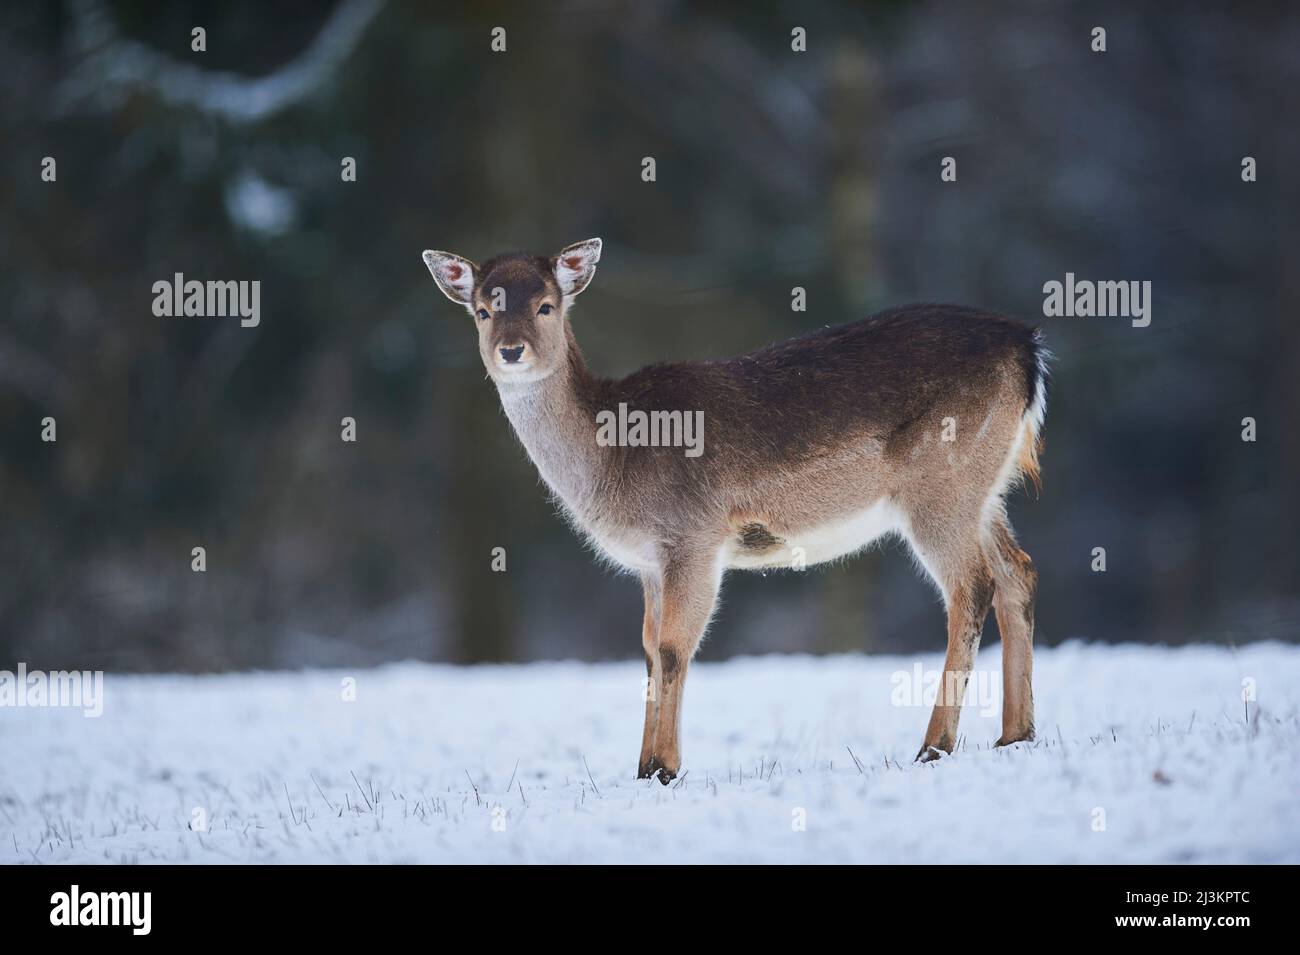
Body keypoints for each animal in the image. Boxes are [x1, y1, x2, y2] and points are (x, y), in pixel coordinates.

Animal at [423, 239, 1045, 784]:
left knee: (973, 585)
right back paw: (1015, 735)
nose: (511, 350)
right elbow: (647, 652)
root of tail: (1028, 349)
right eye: (482, 311)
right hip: (984, 490)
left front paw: (664, 768)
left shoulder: (693, 536)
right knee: (1018, 571)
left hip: (938, 485)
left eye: (546, 305)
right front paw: (641, 766)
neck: (614, 459)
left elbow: (674, 648)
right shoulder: (651, 562)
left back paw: (935, 745)